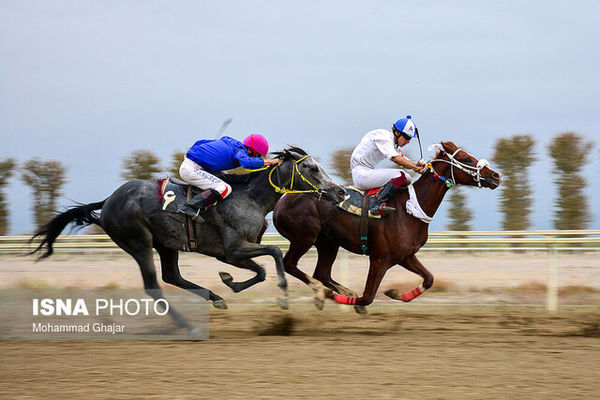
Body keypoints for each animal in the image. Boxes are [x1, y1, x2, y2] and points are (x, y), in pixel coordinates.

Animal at [30, 147, 344, 332]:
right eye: (312, 168)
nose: (339, 191)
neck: (249, 198)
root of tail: (108, 201)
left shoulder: (229, 253)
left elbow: (261, 271)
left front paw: (229, 282)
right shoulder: (234, 249)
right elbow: (275, 255)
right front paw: (283, 299)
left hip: (166, 244)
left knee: (172, 276)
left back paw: (215, 298)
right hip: (139, 242)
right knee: (154, 285)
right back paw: (188, 326)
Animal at [272, 142, 502, 314]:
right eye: (467, 159)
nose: (495, 176)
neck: (409, 209)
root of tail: (282, 200)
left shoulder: (405, 256)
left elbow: (429, 279)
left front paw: (395, 293)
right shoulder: (380, 259)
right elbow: (367, 297)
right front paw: (334, 297)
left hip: (328, 243)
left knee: (322, 273)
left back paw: (335, 291)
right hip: (305, 237)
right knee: (290, 264)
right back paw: (321, 293)